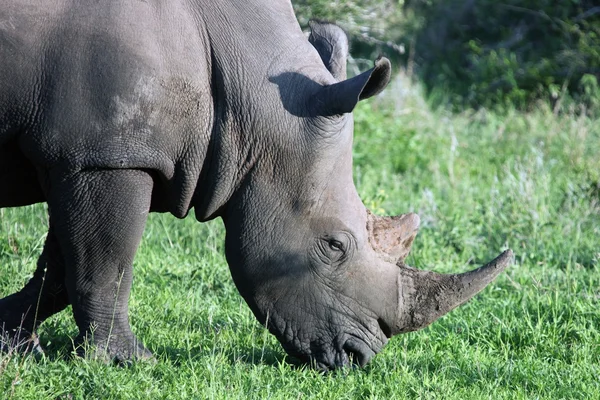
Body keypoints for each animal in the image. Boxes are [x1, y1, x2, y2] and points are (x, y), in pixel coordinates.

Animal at [1, 0, 510, 368]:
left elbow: (63, 266)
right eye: (334, 246)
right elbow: (107, 264)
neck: (254, 95)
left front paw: (14, 341)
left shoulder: (86, 153)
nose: (358, 358)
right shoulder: (109, 155)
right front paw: (129, 362)